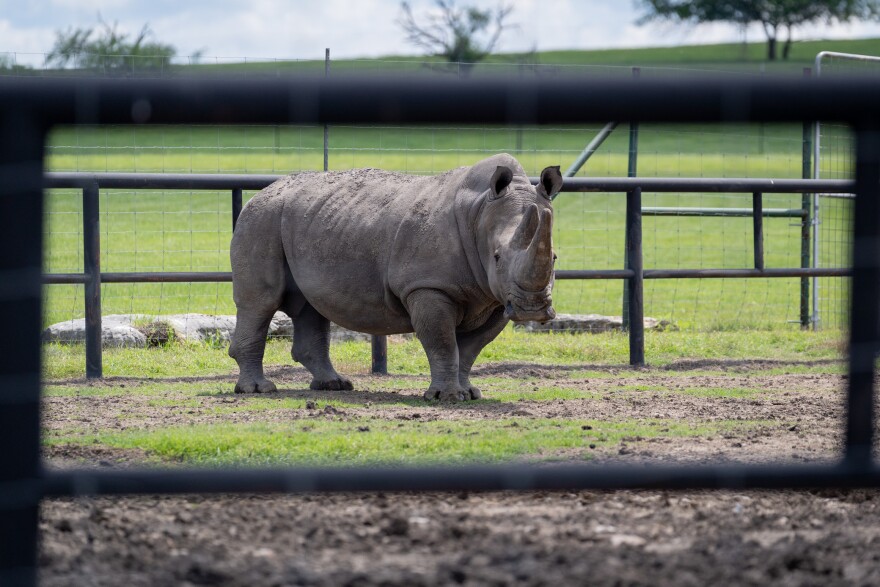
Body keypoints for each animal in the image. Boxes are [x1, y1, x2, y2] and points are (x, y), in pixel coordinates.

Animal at [229, 153, 562, 401]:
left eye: (555, 258)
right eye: (496, 257)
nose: (532, 310)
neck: (480, 212)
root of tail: (265, 190)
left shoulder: (494, 297)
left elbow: (470, 349)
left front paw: (468, 393)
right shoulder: (427, 286)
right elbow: (443, 342)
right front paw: (446, 397)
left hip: (304, 223)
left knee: (311, 307)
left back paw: (334, 385)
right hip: (262, 218)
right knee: (260, 303)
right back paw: (258, 390)